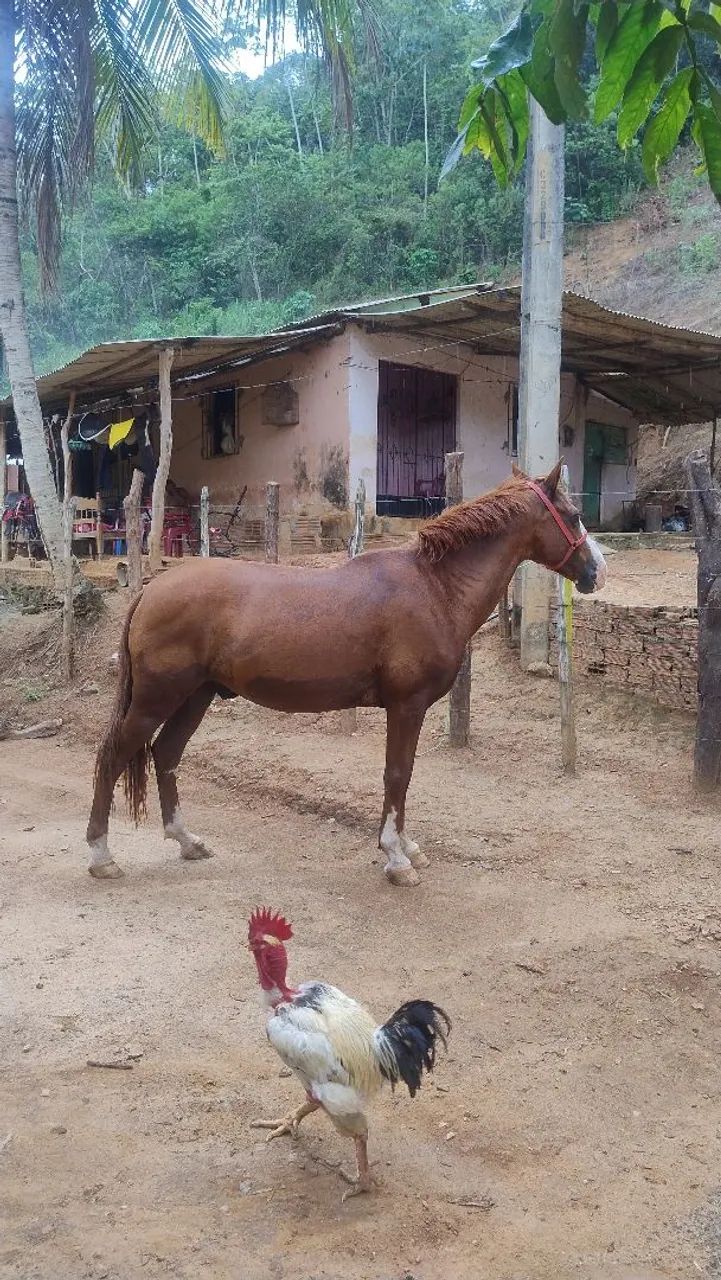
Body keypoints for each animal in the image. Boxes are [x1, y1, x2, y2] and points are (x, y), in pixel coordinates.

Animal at [86, 460, 607, 886]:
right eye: (572, 515)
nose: (597, 571)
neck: (434, 588)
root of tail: (153, 588)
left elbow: (405, 775)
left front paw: (408, 846)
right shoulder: (407, 706)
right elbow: (397, 774)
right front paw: (396, 858)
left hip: (197, 695)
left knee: (166, 754)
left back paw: (187, 841)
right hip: (156, 699)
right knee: (114, 756)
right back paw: (101, 856)